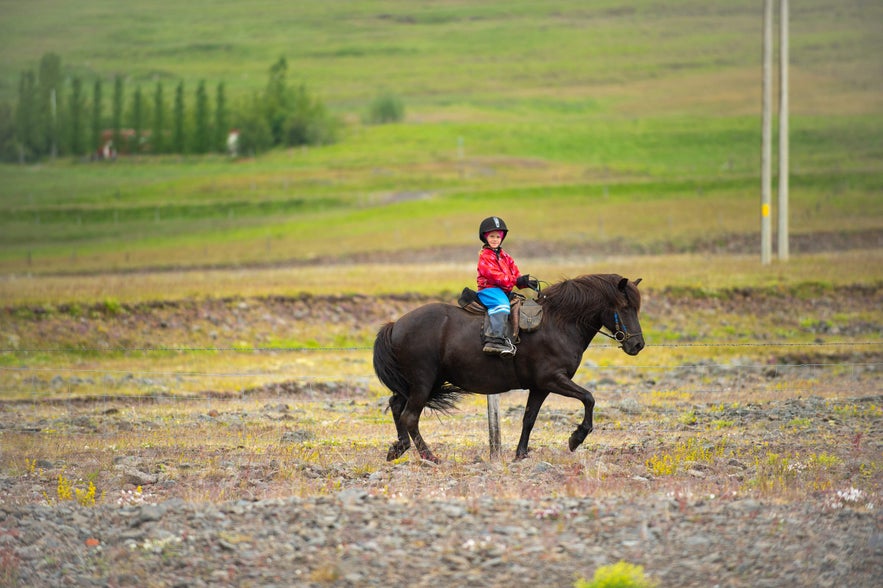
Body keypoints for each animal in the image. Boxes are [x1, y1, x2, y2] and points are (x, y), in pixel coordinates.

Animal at [372, 273, 645, 462]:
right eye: (624, 307)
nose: (637, 344)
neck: (558, 323)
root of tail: (396, 324)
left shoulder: (540, 387)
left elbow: (529, 418)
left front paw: (520, 454)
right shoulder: (553, 379)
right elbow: (589, 398)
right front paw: (576, 438)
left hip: (418, 383)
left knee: (396, 405)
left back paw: (398, 448)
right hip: (423, 382)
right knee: (409, 416)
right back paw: (430, 456)